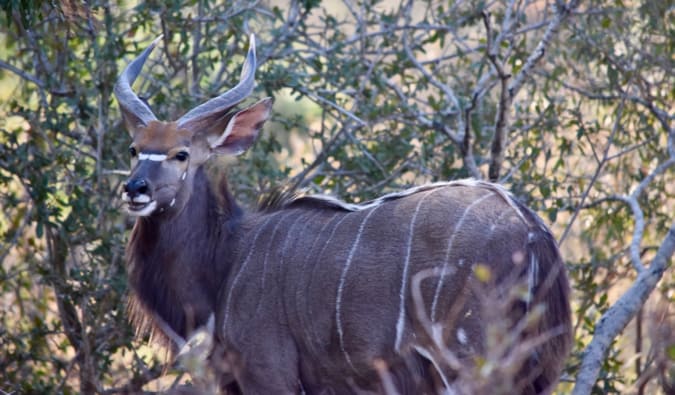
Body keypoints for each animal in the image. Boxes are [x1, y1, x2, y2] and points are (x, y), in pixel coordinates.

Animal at [115, 35, 572, 394]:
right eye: (134, 149)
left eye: (181, 154)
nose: (135, 189)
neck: (226, 259)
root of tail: (531, 229)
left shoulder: (268, 373)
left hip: (471, 363)